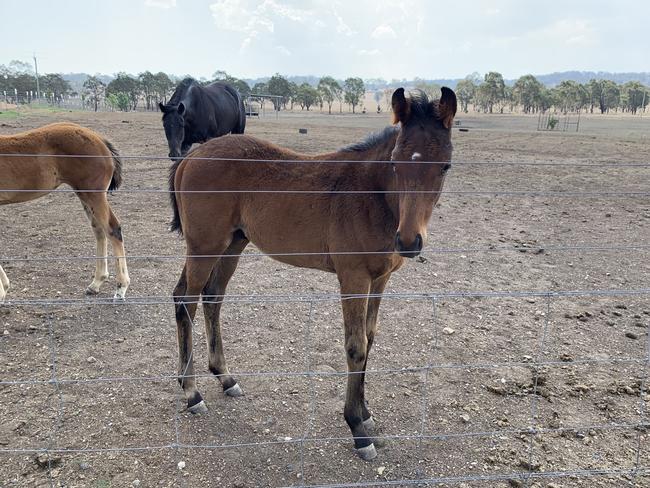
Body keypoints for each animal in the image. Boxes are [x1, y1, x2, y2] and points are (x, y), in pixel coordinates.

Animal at [0, 122, 129, 302]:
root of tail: (99, 139)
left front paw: (2, 291)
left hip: (94, 194)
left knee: (113, 229)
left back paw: (121, 287)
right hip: (84, 194)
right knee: (99, 230)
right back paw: (96, 283)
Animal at [171, 88, 456, 462]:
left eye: (444, 167)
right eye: (395, 162)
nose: (409, 241)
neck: (371, 195)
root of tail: (192, 155)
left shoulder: (380, 279)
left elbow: (370, 338)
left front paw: (367, 414)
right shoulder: (353, 278)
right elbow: (356, 346)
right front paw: (357, 428)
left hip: (233, 244)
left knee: (211, 297)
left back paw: (225, 378)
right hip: (204, 246)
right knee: (186, 301)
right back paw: (191, 392)